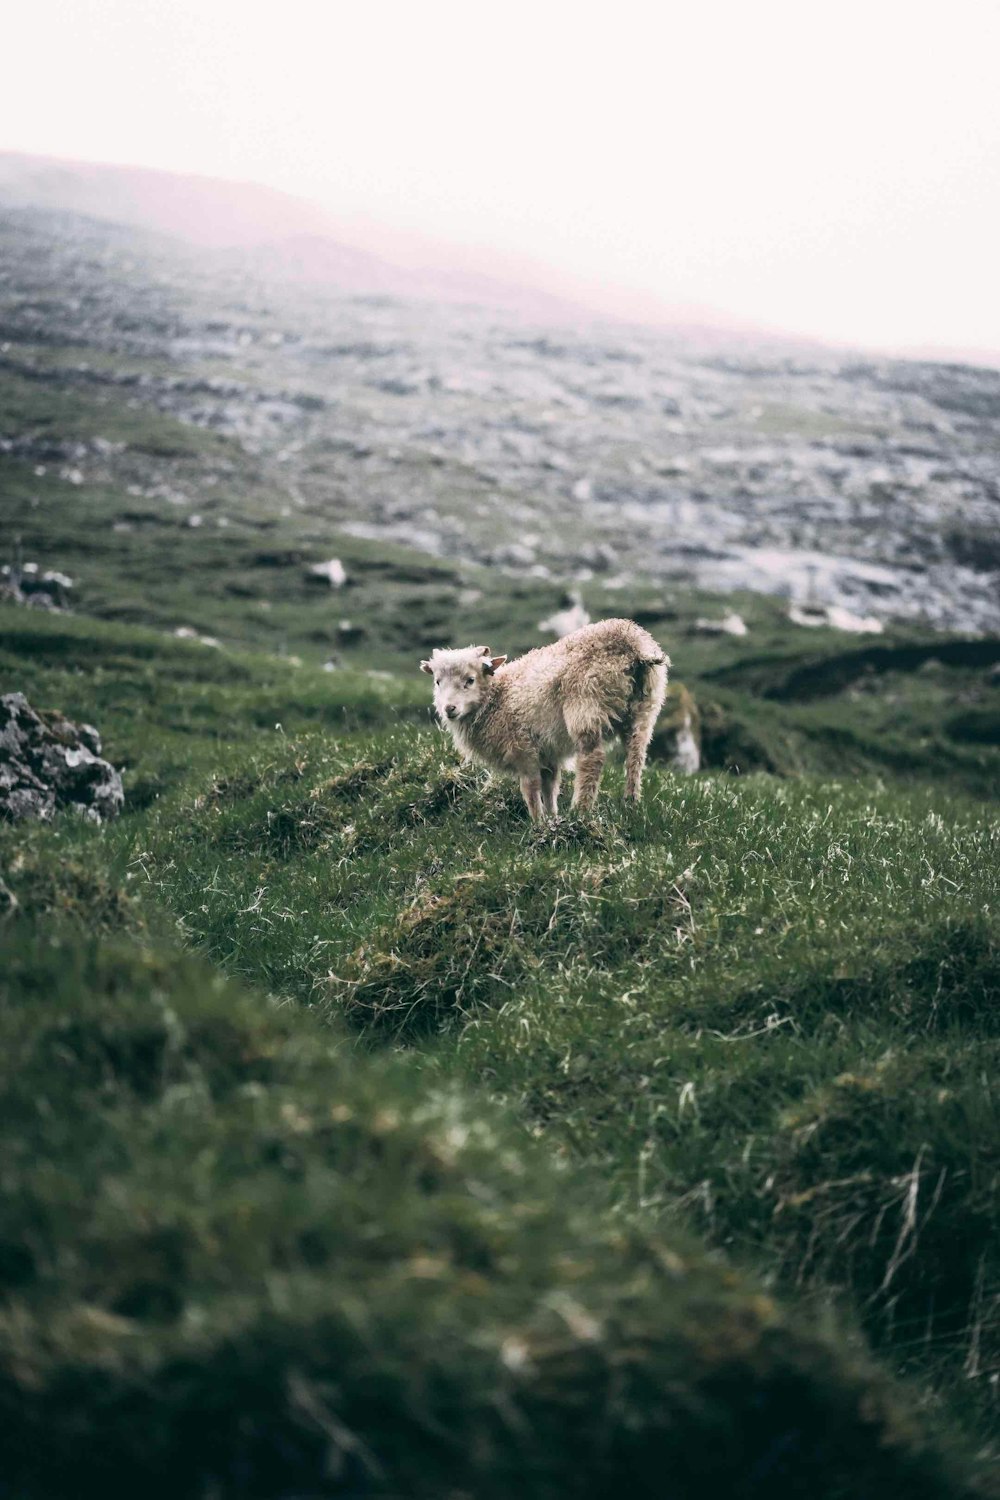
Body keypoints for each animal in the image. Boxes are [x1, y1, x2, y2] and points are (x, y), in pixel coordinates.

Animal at [419, 618, 668, 822]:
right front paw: (551, 818)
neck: (496, 698)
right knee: (635, 756)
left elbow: (531, 788)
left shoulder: (523, 749)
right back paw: (631, 803)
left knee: (592, 759)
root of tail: (632, 646)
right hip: (644, 708)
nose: (449, 709)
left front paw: (537, 822)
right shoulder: (547, 752)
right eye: (438, 682)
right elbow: (550, 786)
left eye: (470, 680)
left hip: (586, 704)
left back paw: (580, 811)